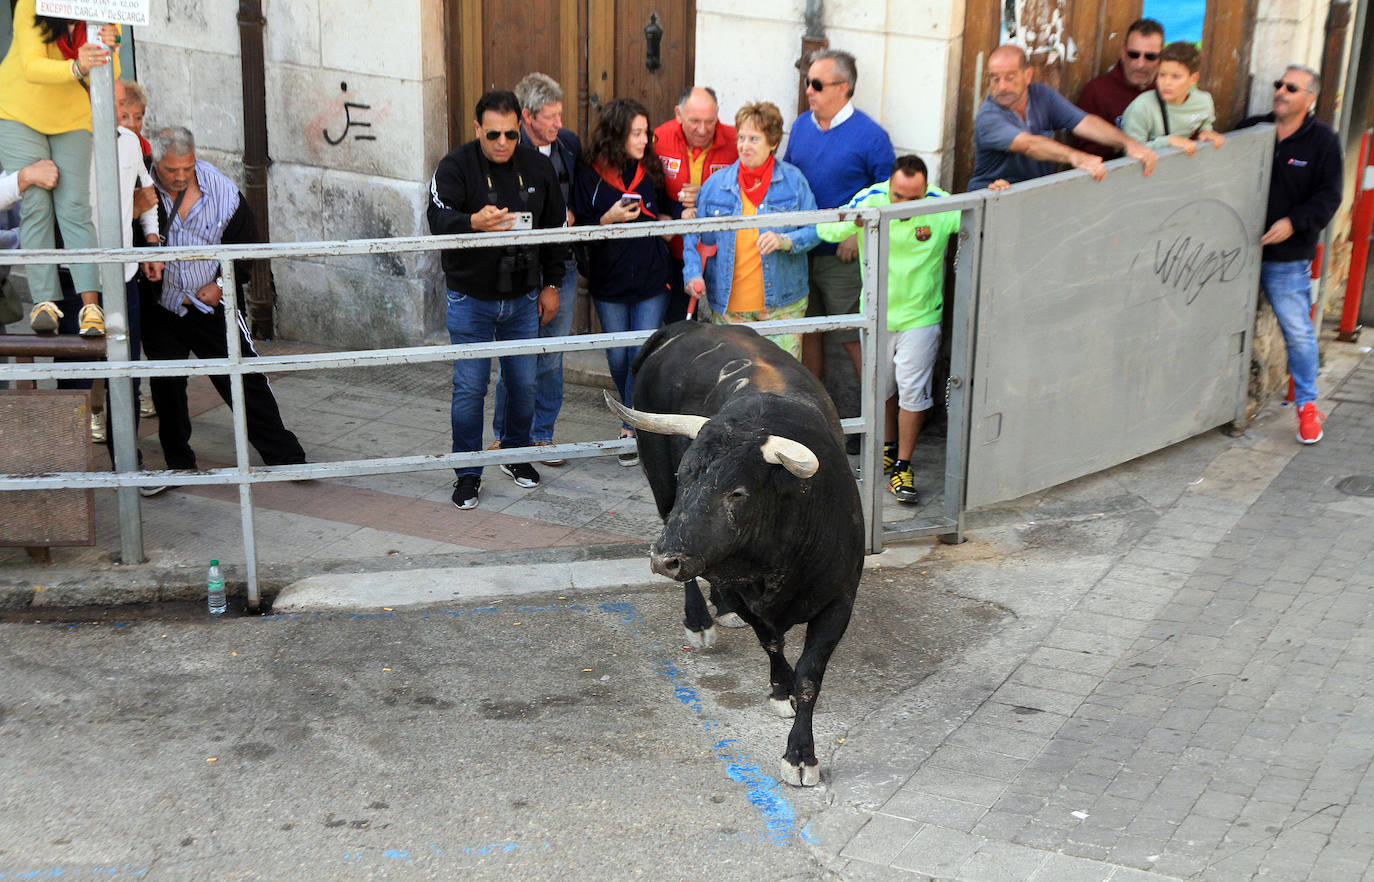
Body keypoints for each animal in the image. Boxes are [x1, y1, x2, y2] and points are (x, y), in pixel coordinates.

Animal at [604, 317, 857, 780]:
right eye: (684, 475)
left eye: (737, 492)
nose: (663, 559)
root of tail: (687, 326)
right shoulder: (747, 596)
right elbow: (771, 643)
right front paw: (781, 691)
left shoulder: (840, 599)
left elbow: (811, 676)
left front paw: (800, 753)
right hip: (659, 491)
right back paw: (700, 618)